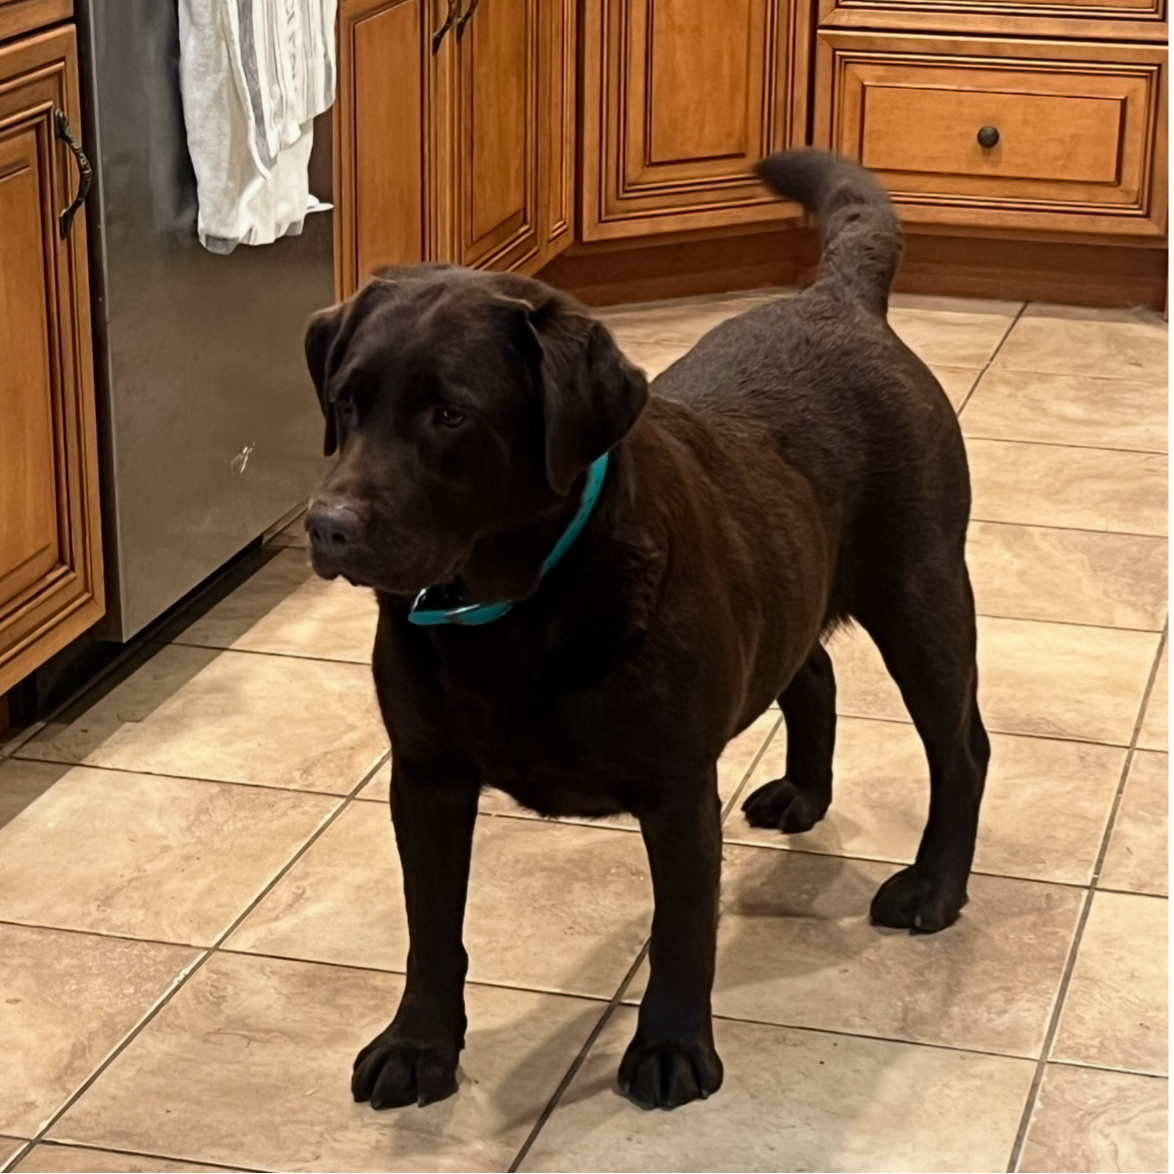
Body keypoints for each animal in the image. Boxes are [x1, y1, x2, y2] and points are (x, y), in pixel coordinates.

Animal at [303, 149, 990, 1112]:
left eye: (450, 415)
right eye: (346, 401)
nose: (327, 528)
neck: (522, 603)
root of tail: (839, 298)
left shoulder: (676, 790)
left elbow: (681, 932)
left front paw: (670, 1050)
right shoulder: (427, 778)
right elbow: (430, 927)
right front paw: (418, 1045)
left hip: (921, 593)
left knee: (961, 747)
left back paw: (933, 887)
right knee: (812, 667)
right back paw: (803, 793)